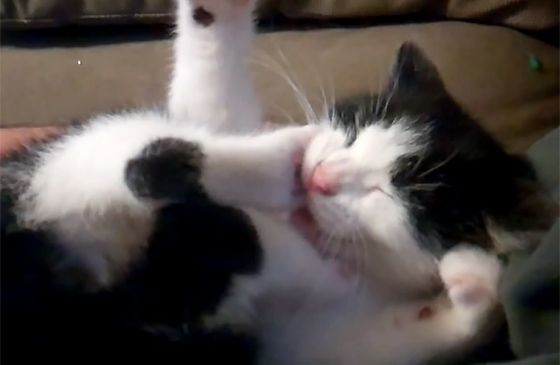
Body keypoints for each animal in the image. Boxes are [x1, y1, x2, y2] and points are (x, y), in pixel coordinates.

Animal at [1, 0, 556, 364]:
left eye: (393, 194)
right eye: (353, 130)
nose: (322, 175)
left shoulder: (295, 339)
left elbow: (358, 346)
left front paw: (473, 283)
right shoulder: (210, 125)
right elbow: (206, 109)